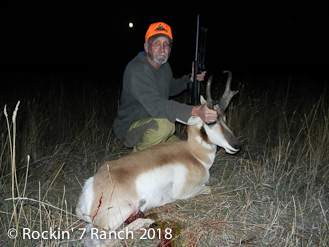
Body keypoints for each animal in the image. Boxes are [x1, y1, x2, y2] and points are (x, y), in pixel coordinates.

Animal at [76, 70, 241, 233]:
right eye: (210, 122)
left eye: (225, 117)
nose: (236, 146)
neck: (194, 154)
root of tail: (91, 185)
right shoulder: (183, 192)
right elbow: (208, 187)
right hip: (117, 216)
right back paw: (147, 222)